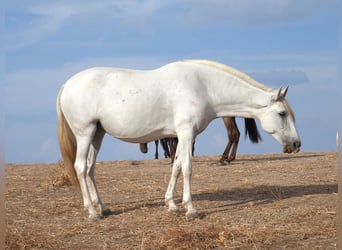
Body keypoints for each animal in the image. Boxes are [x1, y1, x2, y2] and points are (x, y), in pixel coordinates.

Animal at [56, 59, 302, 220]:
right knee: (80, 167)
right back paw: (91, 212)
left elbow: (175, 167)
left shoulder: (180, 136)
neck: (203, 86)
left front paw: (172, 205)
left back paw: (103, 207)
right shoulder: (185, 133)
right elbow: (187, 168)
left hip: (97, 134)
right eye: (282, 113)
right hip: (85, 133)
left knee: (90, 168)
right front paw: (190, 209)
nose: (297, 144)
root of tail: (67, 85)